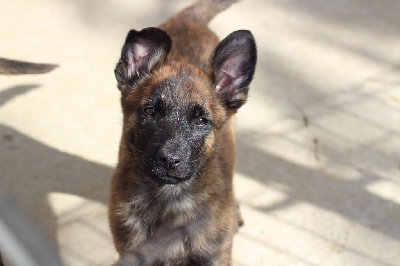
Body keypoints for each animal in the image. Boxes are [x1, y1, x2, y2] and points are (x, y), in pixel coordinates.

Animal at [108, 0, 256, 264]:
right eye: (150, 111)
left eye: (201, 121)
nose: (169, 160)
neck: (167, 200)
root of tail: (189, 20)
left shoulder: (215, 256)